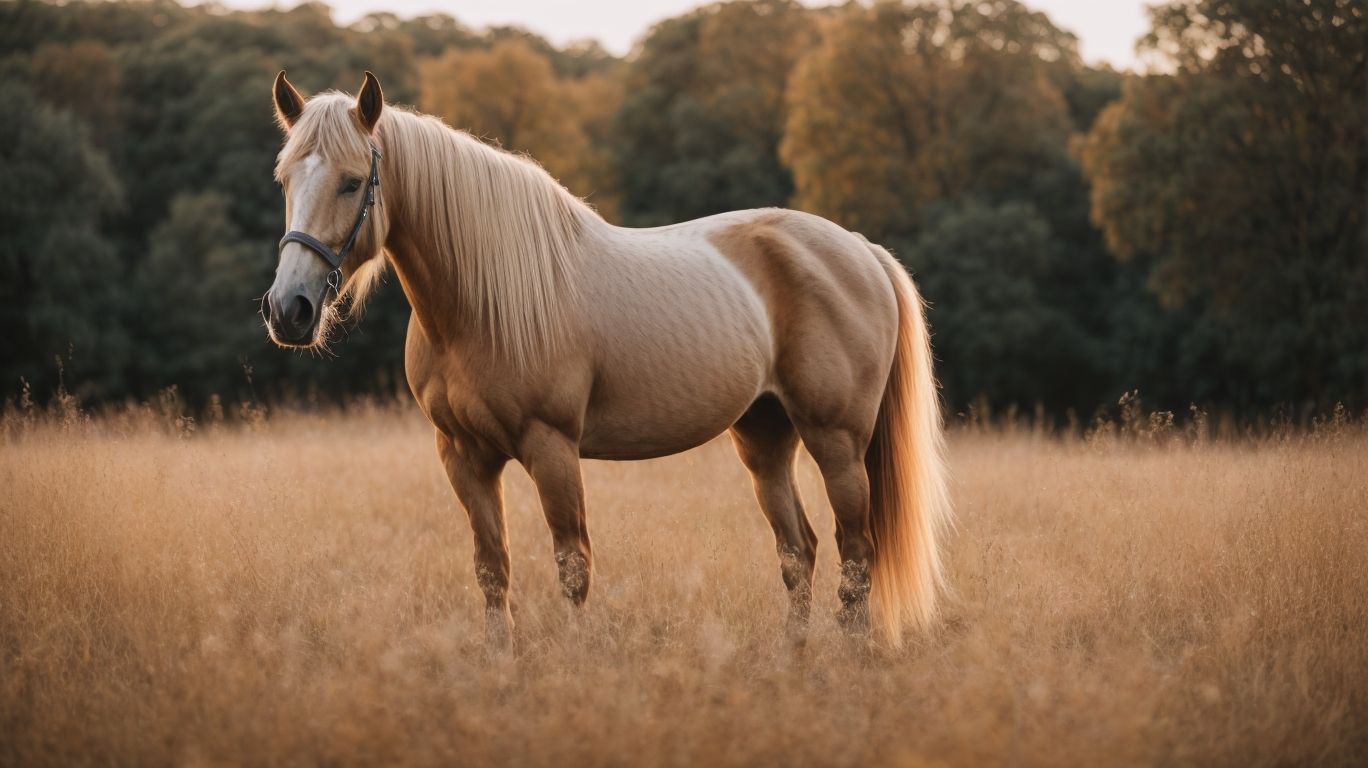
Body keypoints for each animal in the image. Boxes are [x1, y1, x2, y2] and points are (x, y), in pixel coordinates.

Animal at [263, 71, 950, 649]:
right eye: (286, 180)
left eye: (353, 181)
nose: (289, 310)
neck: (484, 303)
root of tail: (859, 249)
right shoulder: (463, 456)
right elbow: (492, 569)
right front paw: (498, 664)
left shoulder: (552, 448)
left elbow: (572, 568)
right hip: (764, 436)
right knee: (798, 550)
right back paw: (795, 657)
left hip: (836, 440)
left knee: (855, 553)